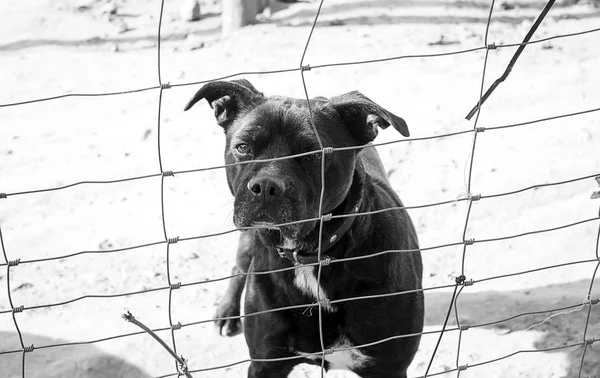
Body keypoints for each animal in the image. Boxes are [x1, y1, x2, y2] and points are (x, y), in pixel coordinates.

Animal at [185, 79, 424, 378]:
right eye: (243, 147)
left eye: (313, 154)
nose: (265, 187)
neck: (311, 256)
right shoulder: (265, 364)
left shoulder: (388, 367)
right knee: (238, 266)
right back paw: (227, 311)